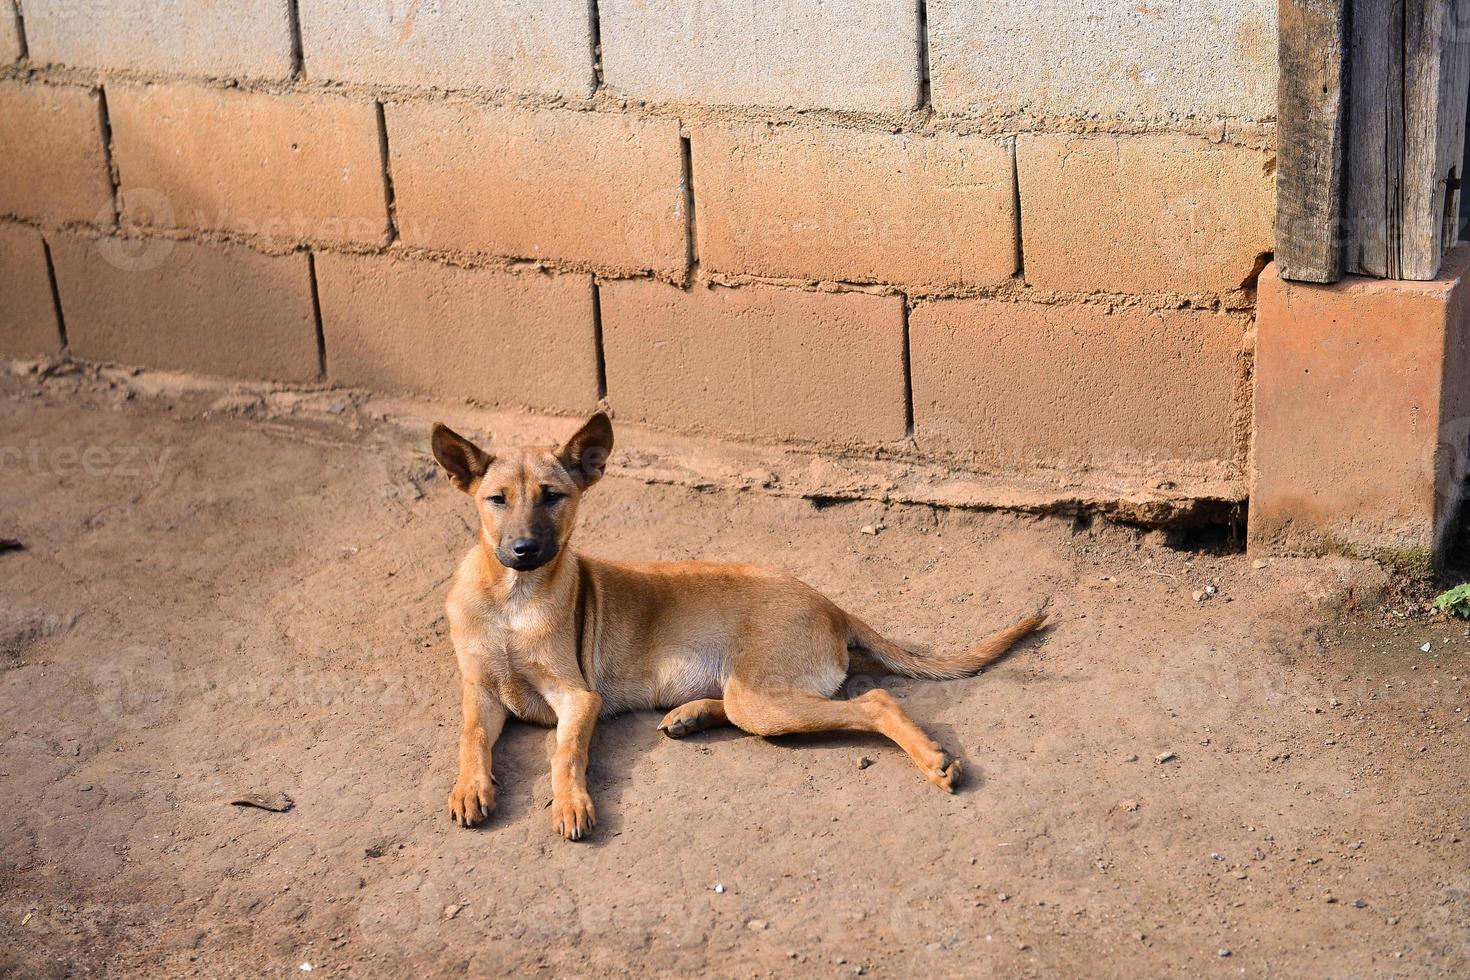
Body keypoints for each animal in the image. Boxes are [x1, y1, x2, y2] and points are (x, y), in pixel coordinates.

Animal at [429, 411, 1046, 840]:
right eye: (497, 500)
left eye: (553, 497)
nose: (524, 550)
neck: (511, 601)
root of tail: (830, 604)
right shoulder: (480, 690)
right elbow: (471, 735)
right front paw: (469, 789)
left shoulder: (579, 698)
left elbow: (565, 752)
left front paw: (571, 803)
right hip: (754, 694)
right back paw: (692, 715)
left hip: (761, 697)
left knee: (874, 701)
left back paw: (932, 760)